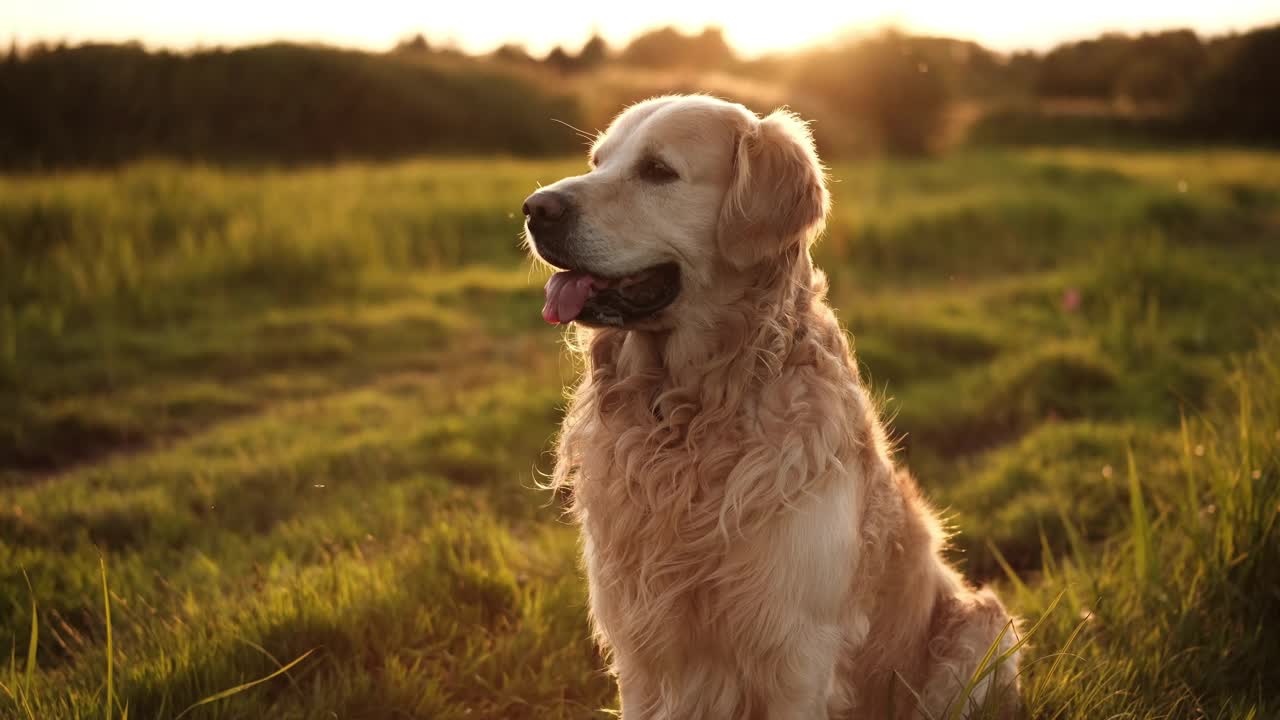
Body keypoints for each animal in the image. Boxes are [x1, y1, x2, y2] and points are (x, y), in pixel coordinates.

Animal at [519, 94, 1018, 712]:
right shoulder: (640, 656)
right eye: (597, 161)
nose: (534, 208)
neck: (689, 418)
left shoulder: (797, 657)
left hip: (984, 632)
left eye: (657, 170)